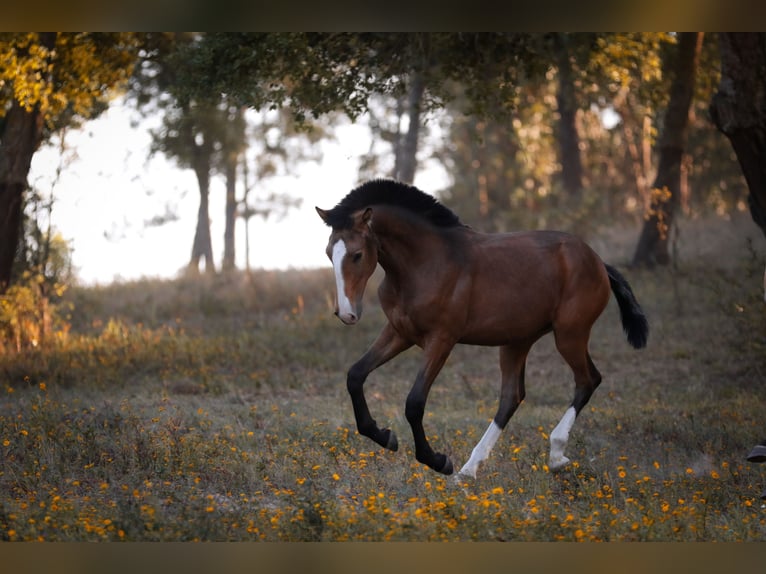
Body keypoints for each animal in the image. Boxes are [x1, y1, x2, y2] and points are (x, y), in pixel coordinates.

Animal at [316, 182, 648, 480]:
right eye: (329, 252)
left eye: (357, 254)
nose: (346, 313)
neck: (425, 263)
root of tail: (598, 262)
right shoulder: (400, 332)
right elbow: (355, 375)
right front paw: (385, 436)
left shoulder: (441, 339)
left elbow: (414, 402)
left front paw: (437, 460)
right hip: (517, 341)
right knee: (511, 397)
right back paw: (470, 469)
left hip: (569, 334)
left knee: (587, 380)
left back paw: (555, 455)